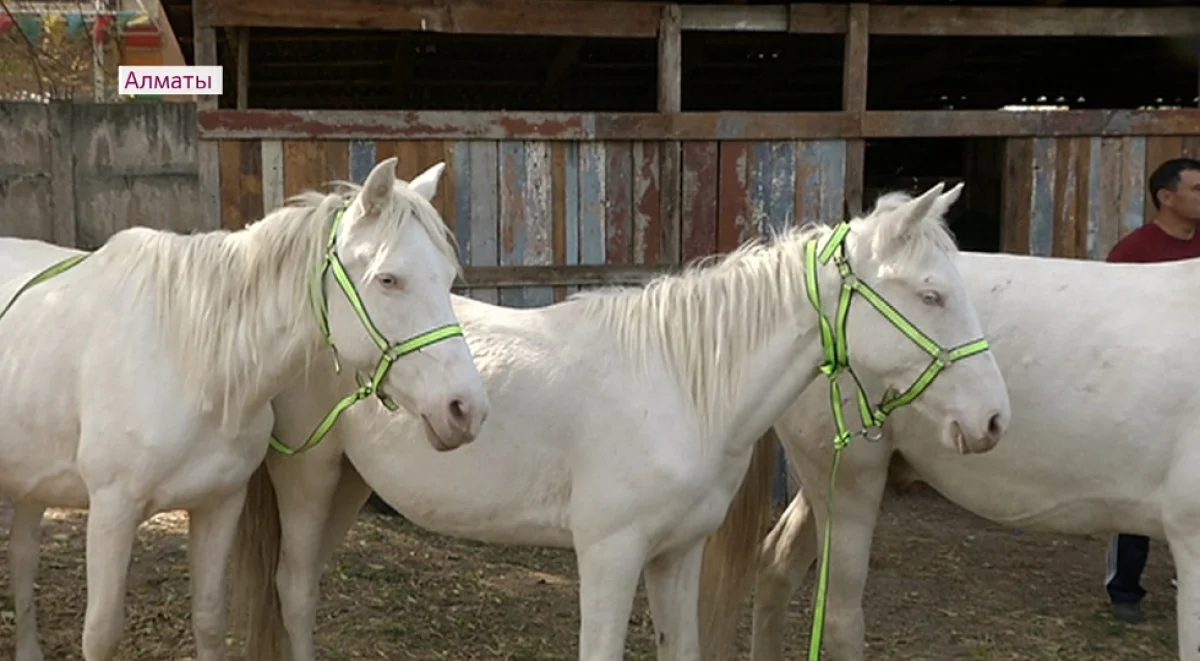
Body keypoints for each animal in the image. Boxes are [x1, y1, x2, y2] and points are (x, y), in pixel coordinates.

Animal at [0, 155, 489, 661]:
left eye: (447, 278)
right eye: (389, 279)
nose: (464, 408)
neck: (191, 364)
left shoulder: (219, 505)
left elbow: (210, 619)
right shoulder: (111, 512)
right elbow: (100, 634)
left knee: (23, 554)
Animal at [226, 183, 1012, 661]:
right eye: (932, 294)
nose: (993, 419)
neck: (681, 388)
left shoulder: (677, 554)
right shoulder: (608, 555)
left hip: (349, 482)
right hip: (307, 473)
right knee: (294, 587)